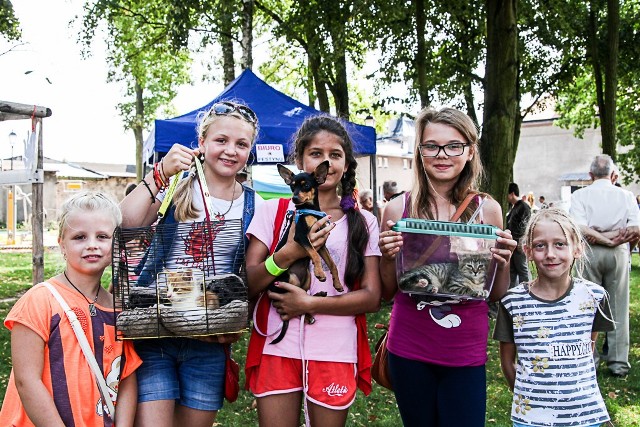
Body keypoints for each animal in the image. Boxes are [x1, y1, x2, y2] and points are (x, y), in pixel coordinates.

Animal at [268, 160, 342, 344]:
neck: (310, 210)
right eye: (292, 187)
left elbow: (332, 264)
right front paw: (320, 273)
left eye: (306, 185)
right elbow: (314, 254)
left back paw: (316, 301)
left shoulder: (321, 243)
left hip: (306, 280)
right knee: (295, 303)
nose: (294, 198)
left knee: (303, 299)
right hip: (290, 280)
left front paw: (337, 284)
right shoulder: (302, 237)